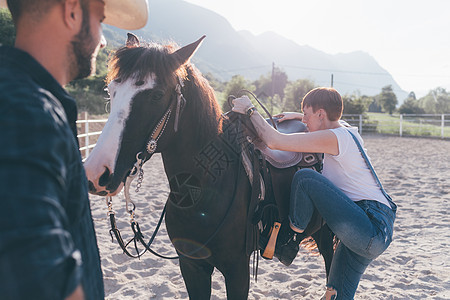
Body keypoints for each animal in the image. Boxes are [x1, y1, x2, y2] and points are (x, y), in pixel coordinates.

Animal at [85, 34, 334, 298]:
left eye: (157, 95)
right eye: (111, 90)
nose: (96, 172)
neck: (201, 191)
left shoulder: (237, 270)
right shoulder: (191, 265)